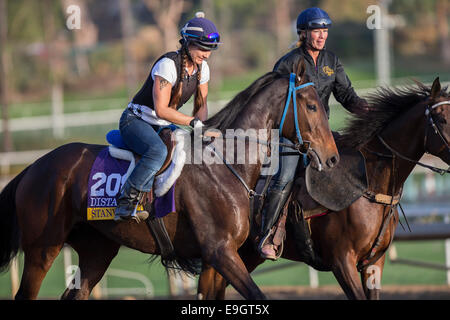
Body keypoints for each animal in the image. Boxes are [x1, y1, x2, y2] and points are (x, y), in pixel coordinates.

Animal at [0, 60, 338, 300]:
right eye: (311, 106)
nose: (332, 157)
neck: (227, 165)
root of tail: (32, 167)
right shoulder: (220, 252)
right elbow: (256, 293)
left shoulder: (214, 260)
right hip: (43, 249)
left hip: (97, 250)